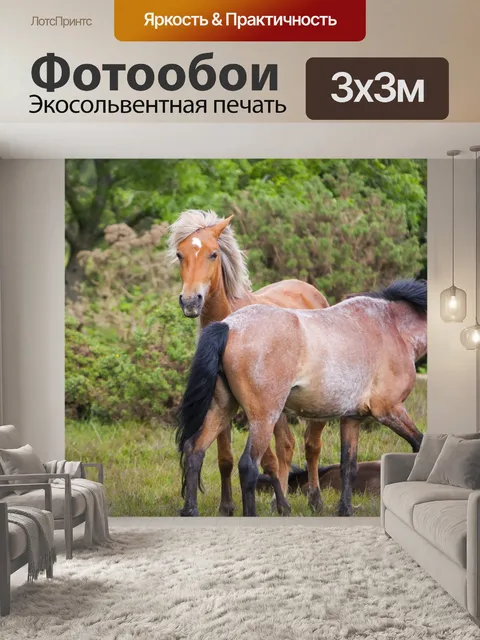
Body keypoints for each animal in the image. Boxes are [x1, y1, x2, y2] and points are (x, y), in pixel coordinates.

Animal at [168, 209, 330, 515]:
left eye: (213, 254)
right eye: (180, 254)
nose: (190, 301)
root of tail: (309, 290)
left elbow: (266, 459)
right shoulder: (223, 404)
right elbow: (225, 458)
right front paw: (227, 507)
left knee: (310, 445)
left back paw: (312, 498)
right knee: (287, 445)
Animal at [177, 279, 426, 517]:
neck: (392, 327)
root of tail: (229, 325)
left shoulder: (352, 418)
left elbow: (348, 466)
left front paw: (345, 509)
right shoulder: (389, 409)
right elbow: (419, 444)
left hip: (222, 409)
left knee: (194, 451)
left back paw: (191, 511)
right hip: (264, 418)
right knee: (248, 465)